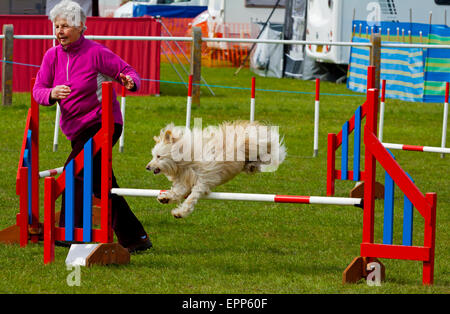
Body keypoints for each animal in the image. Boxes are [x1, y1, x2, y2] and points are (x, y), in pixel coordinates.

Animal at [148, 120, 288, 218]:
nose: (147, 167)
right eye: (154, 156)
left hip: (256, 146)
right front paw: (165, 198)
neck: (187, 160)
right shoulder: (184, 180)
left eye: (158, 156)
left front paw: (180, 212)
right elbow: (177, 192)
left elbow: (192, 197)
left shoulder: (203, 179)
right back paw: (251, 165)